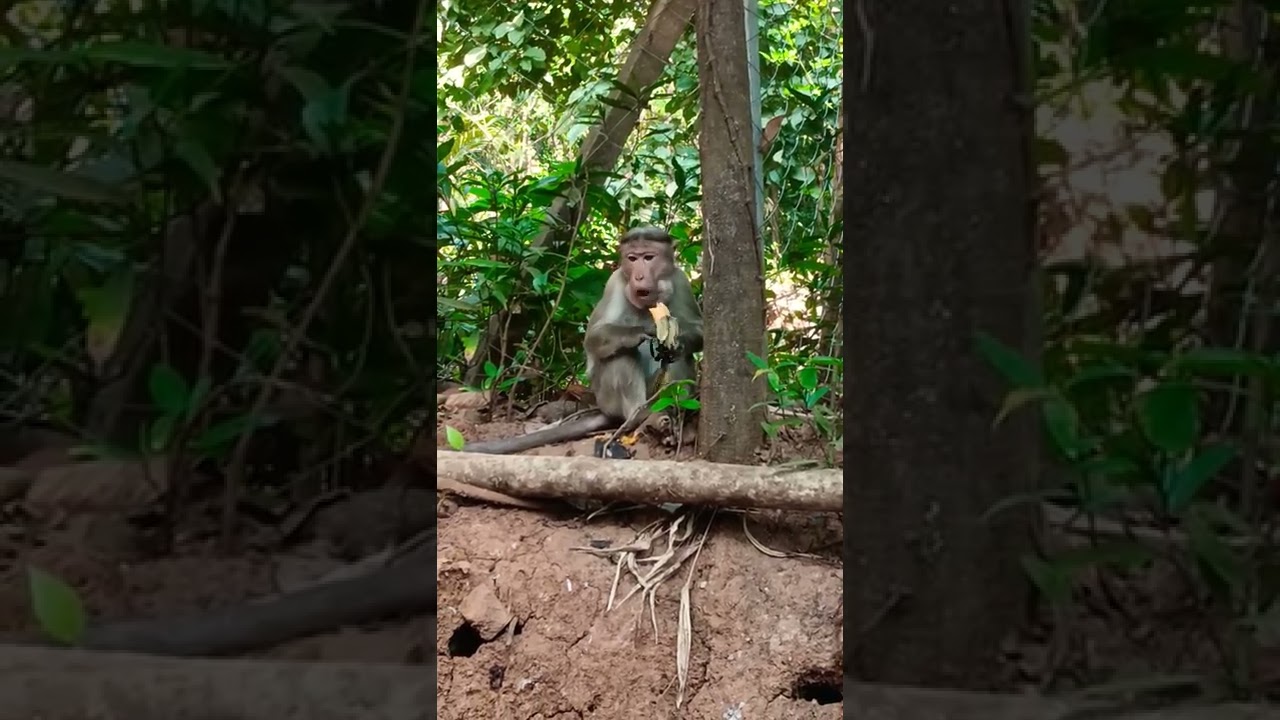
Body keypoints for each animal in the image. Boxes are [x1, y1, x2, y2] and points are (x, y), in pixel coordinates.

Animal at [458, 227, 703, 455]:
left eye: (649, 257)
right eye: (632, 259)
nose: (639, 277)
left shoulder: (681, 280)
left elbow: (698, 333)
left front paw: (677, 338)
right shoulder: (614, 283)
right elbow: (593, 338)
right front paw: (642, 330)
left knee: (678, 358)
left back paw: (671, 409)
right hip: (606, 397)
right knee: (621, 355)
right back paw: (638, 414)